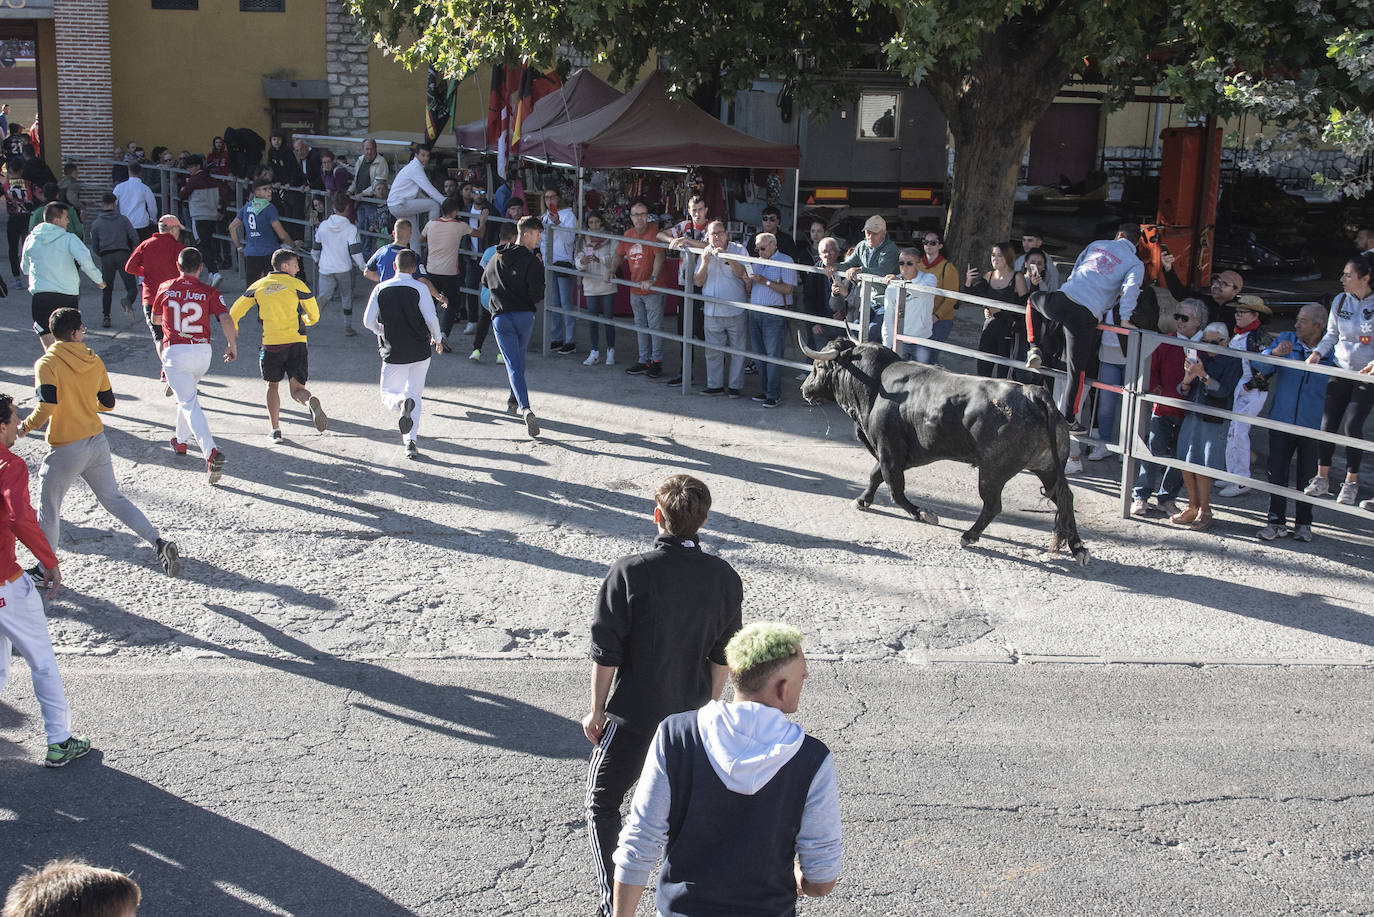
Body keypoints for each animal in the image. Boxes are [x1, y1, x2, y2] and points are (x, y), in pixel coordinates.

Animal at [802, 339, 1088, 566]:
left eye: (819, 367)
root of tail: (1034, 392)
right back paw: (1079, 548)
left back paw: (969, 536)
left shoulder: (889, 450)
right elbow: (875, 477)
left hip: (993, 471)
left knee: (993, 504)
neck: (875, 385)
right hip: (1046, 467)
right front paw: (862, 500)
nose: (804, 389)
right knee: (1065, 498)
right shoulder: (899, 455)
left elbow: (895, 489)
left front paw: (923, 513)